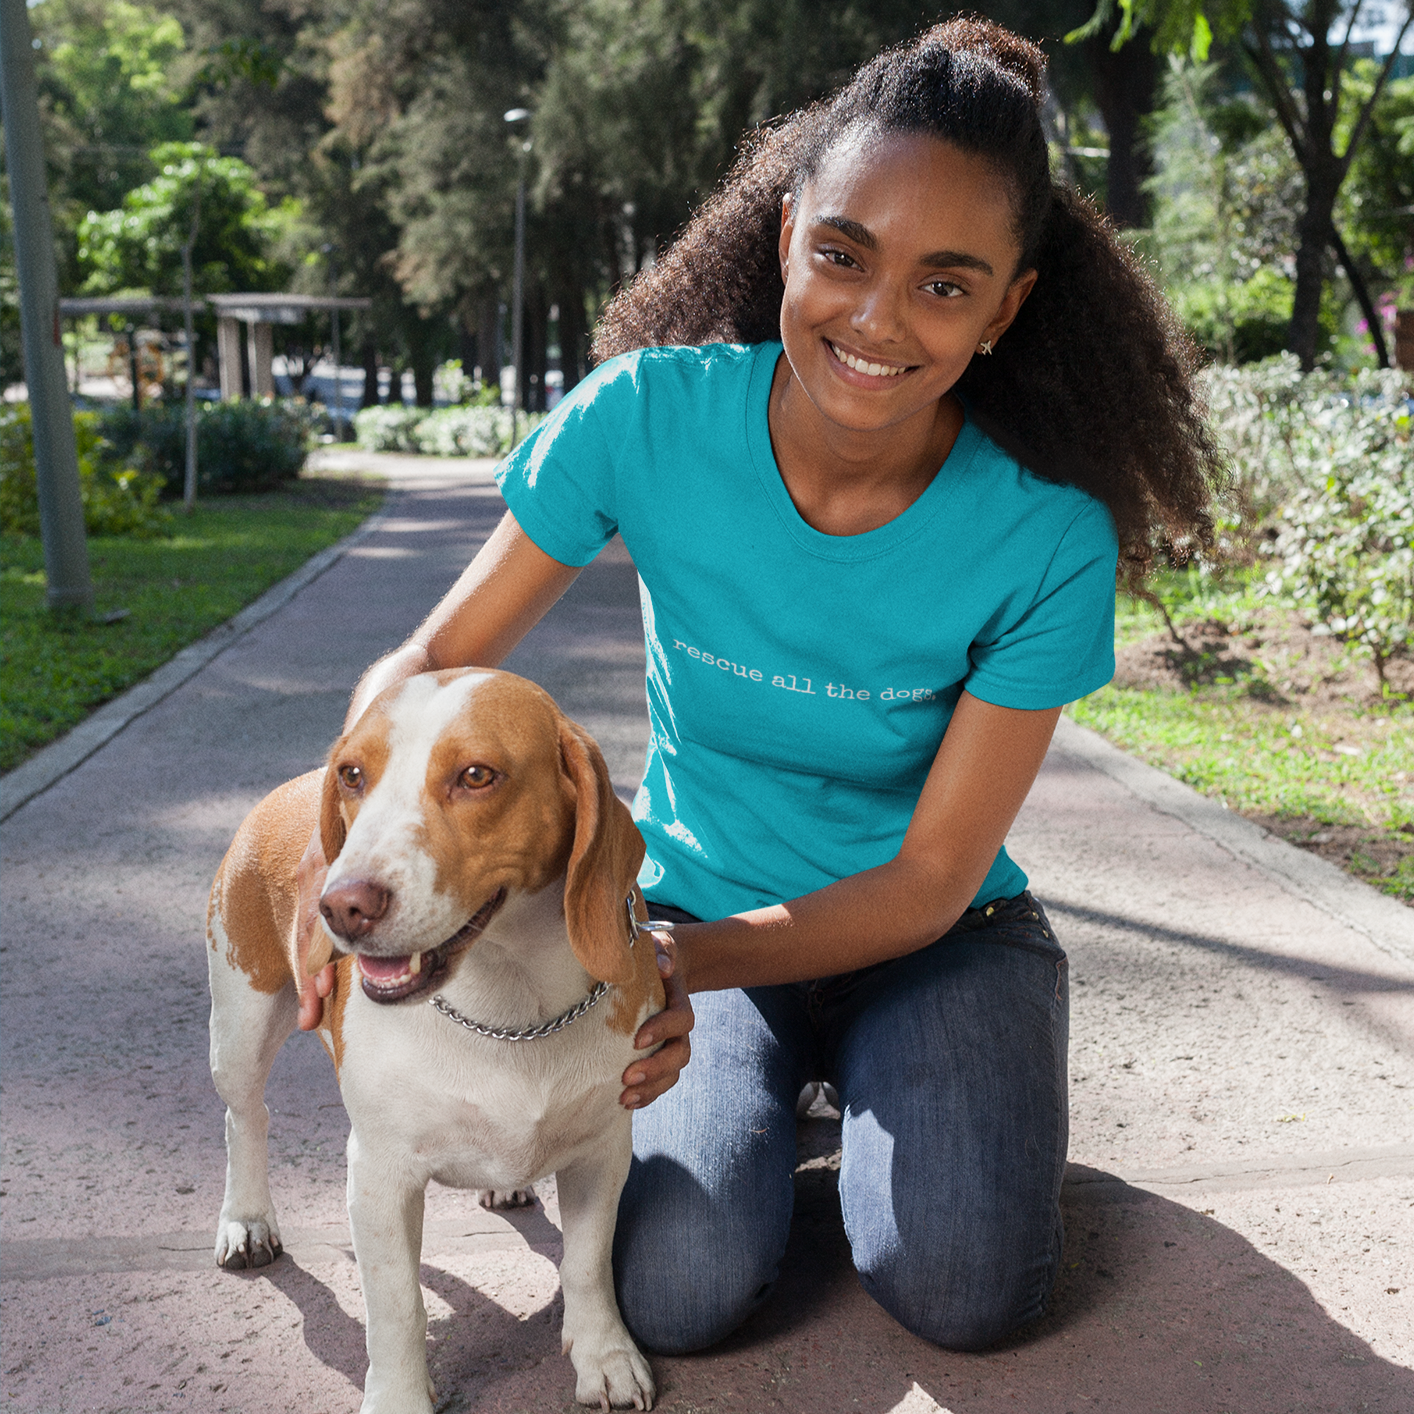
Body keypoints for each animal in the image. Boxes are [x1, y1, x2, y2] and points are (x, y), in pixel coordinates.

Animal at [205, 667, 661, 1408]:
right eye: (354, 774)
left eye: (477, 775)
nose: (341, 906)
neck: (509, 1006)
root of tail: (289, 786)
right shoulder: (379, 1176)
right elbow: (397, 1308)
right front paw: (398, 1396)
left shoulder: (601, 1152)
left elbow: (588, 1265)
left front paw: (605, 1356)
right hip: (239, 1030)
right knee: (245, 1116)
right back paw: (246, 1219)